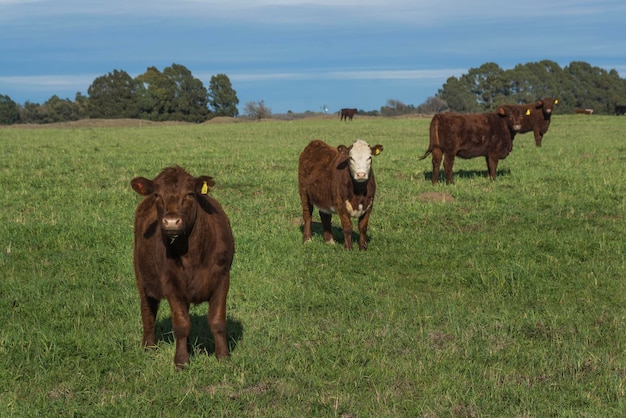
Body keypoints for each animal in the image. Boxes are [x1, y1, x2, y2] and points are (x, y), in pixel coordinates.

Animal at [129, 165, 234, 368]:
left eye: (189, 194)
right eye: (157, 195)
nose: (171, 222)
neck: (191, 254)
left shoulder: (222, 278)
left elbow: (217, 321)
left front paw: (223, 356)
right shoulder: (170, 283)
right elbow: (181, 324)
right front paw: (181, 361)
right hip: (142, 276)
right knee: (148, 309)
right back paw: (149, 346)